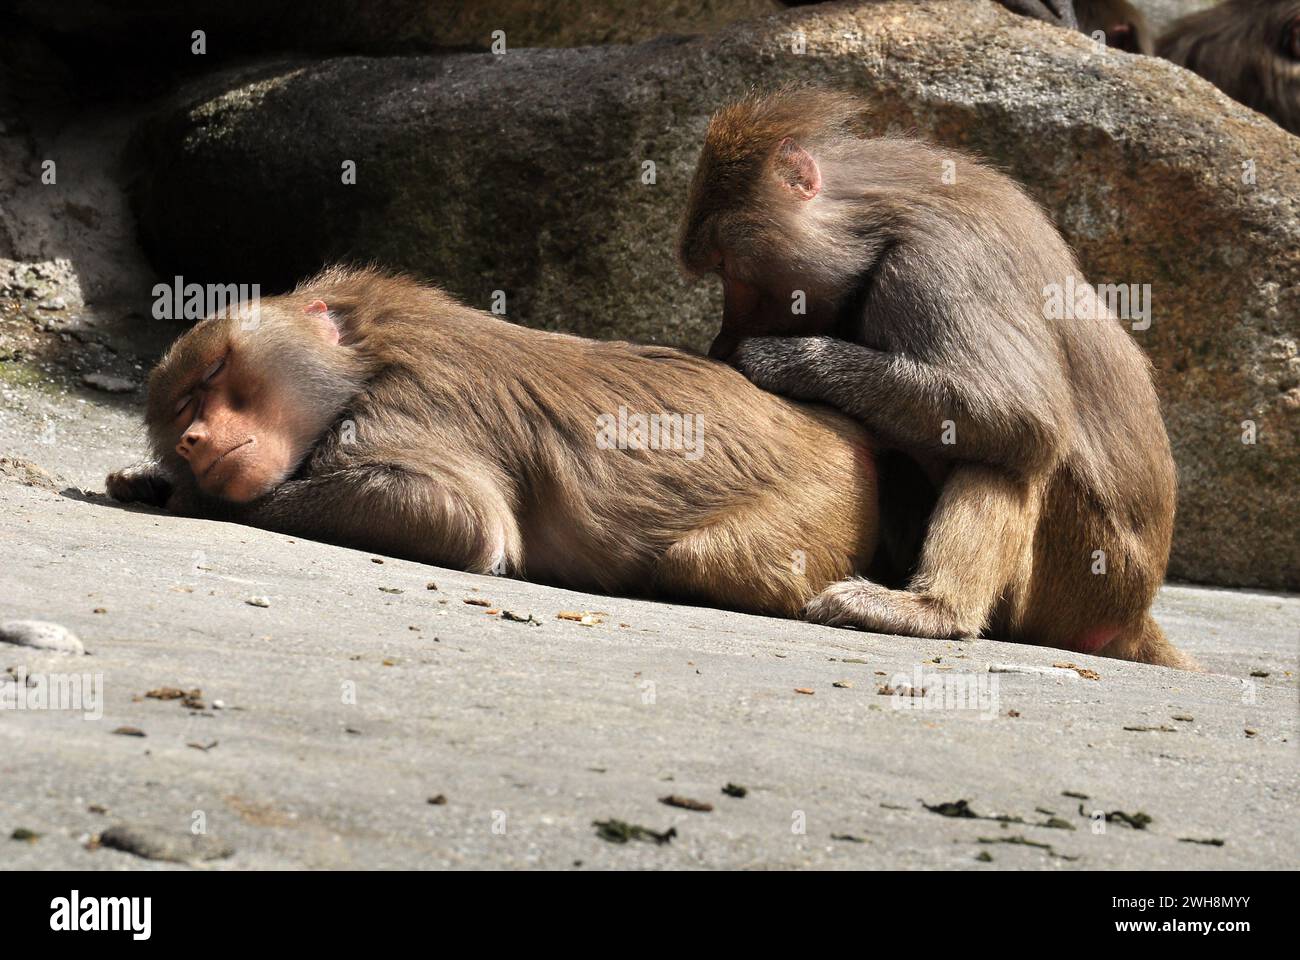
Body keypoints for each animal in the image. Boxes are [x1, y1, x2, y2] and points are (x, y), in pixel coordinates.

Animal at [107, 266, 878, 620]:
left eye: (213, 375)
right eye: (178, 413)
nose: (195, 440)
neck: (367, 353)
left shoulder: (407, 404)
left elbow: (464, 523)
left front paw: (189, 500)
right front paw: (150, 481)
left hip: (821, 506)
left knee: (700, 561)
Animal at [678, 88, 1194, 670]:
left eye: (726, 268)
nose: (719, 345)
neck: (875, 219)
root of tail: (1133, 613)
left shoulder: (935, 265)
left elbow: (1018, 413)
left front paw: (773, 360)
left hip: (1081, 575)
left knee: (1013, 452)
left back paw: (930, 611)